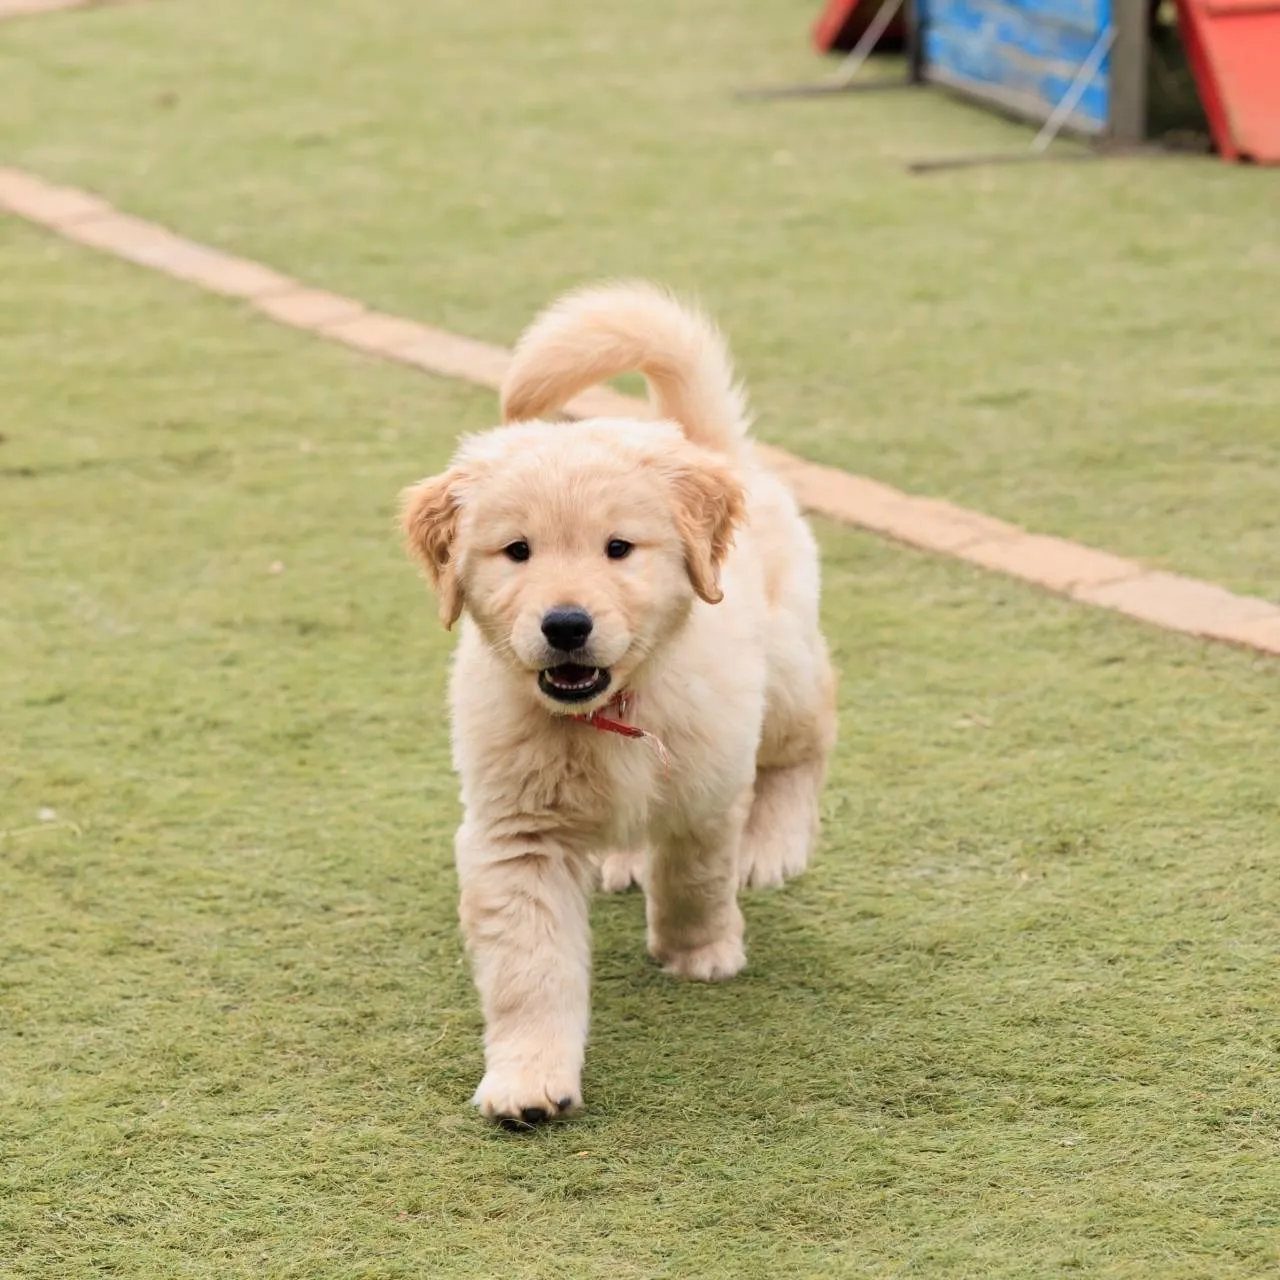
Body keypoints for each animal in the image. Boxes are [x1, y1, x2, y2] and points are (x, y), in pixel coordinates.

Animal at [401, 280, 839, 1121]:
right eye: (517, 551)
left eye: (618, 549)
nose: (566, 624)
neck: (610, 712)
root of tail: (703, 445)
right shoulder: (516, 835)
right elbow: (531, 968)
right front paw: (529, 1079)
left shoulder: (707, 787)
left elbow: (696, 879)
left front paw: (699, 950)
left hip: (788, 671)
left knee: (810, 735)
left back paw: (773, 843)